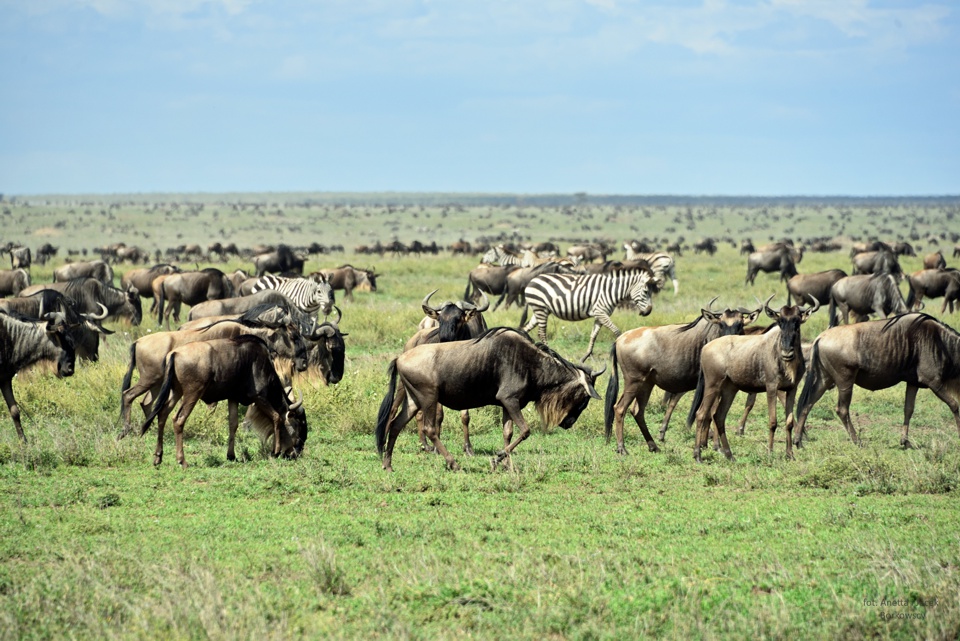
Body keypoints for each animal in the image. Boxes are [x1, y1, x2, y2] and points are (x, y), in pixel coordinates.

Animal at [516, 264, 660, 362]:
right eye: (646, 292)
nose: (648, 311)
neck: (611, 291)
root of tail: (532, 280)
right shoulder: (601, 312)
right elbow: (617, 331)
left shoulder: (599, 315)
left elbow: (593, 336)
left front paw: (585, 357)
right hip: (540, 309)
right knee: (542, 332)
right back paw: (550, 354)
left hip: (539, 310)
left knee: (525, 328)